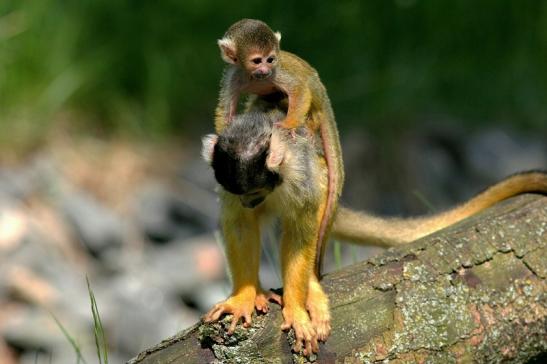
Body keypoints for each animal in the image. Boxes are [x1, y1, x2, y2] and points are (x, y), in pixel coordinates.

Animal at [203, 105, 547, 356]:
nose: (249, 201)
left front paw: (297, 308)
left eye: (254, 191)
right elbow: (239, 225)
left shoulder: (301, 173)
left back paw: (310, 286)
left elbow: (303, 228)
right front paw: (244, 296)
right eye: (243, 194)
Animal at [215, 18, 340, 276]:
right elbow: (224, 109)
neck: (257, 78)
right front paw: (223, 135)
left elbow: (299, 90)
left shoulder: (278, 73)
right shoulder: (235, 76)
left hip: (316, 95)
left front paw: (286, 125)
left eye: (270, 59)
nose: (264, 70)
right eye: (256, 61)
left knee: (305, 89)